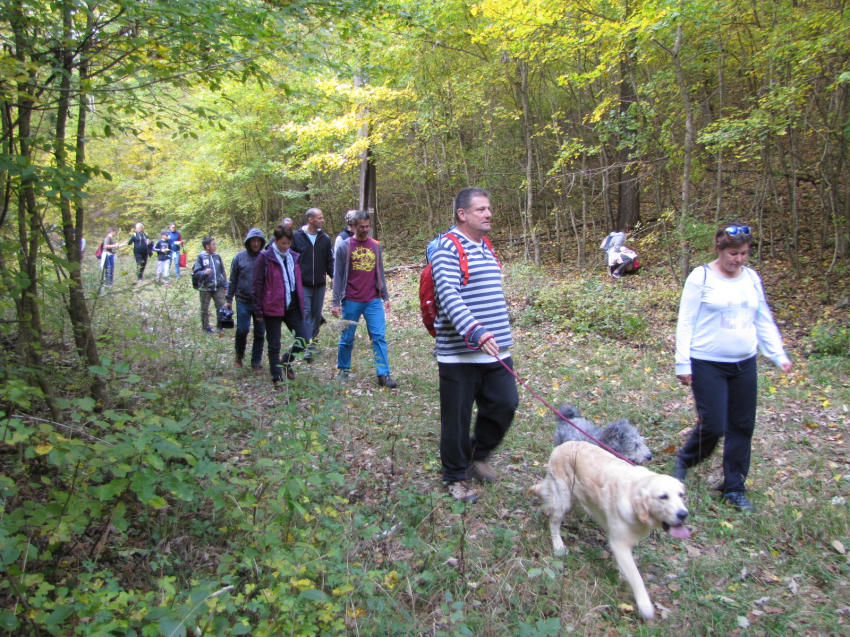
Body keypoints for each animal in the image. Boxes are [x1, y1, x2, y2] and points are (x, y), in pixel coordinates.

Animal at [528, 442, 688, 620]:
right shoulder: (619, 544)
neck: (634, 497)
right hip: (563, 499)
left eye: (681, 495)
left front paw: (617, 574)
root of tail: (563, 445)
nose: (683, 514)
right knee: (553, 523)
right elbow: (636, 577)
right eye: (663, 497)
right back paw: (558, 545)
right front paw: (645, 606)